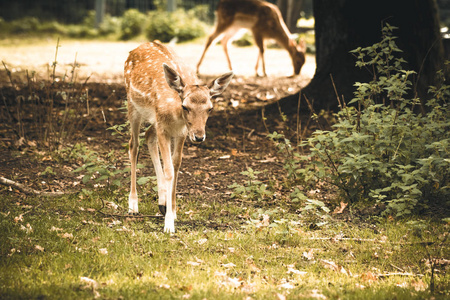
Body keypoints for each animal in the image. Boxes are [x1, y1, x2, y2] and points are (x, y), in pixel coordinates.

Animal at [125, 42, 234, 233]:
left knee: (148, 136)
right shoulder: (163, 127)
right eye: (185, 106)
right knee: (134, 145)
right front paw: (169, 225)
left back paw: (161, 202)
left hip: (153, 120)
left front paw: (173, 212)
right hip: (132, 105)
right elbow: (168, 169)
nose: (199, 136)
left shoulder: (181, 132)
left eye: (210, 108)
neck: (175, 116)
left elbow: (176, 166)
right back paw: (133, 205)